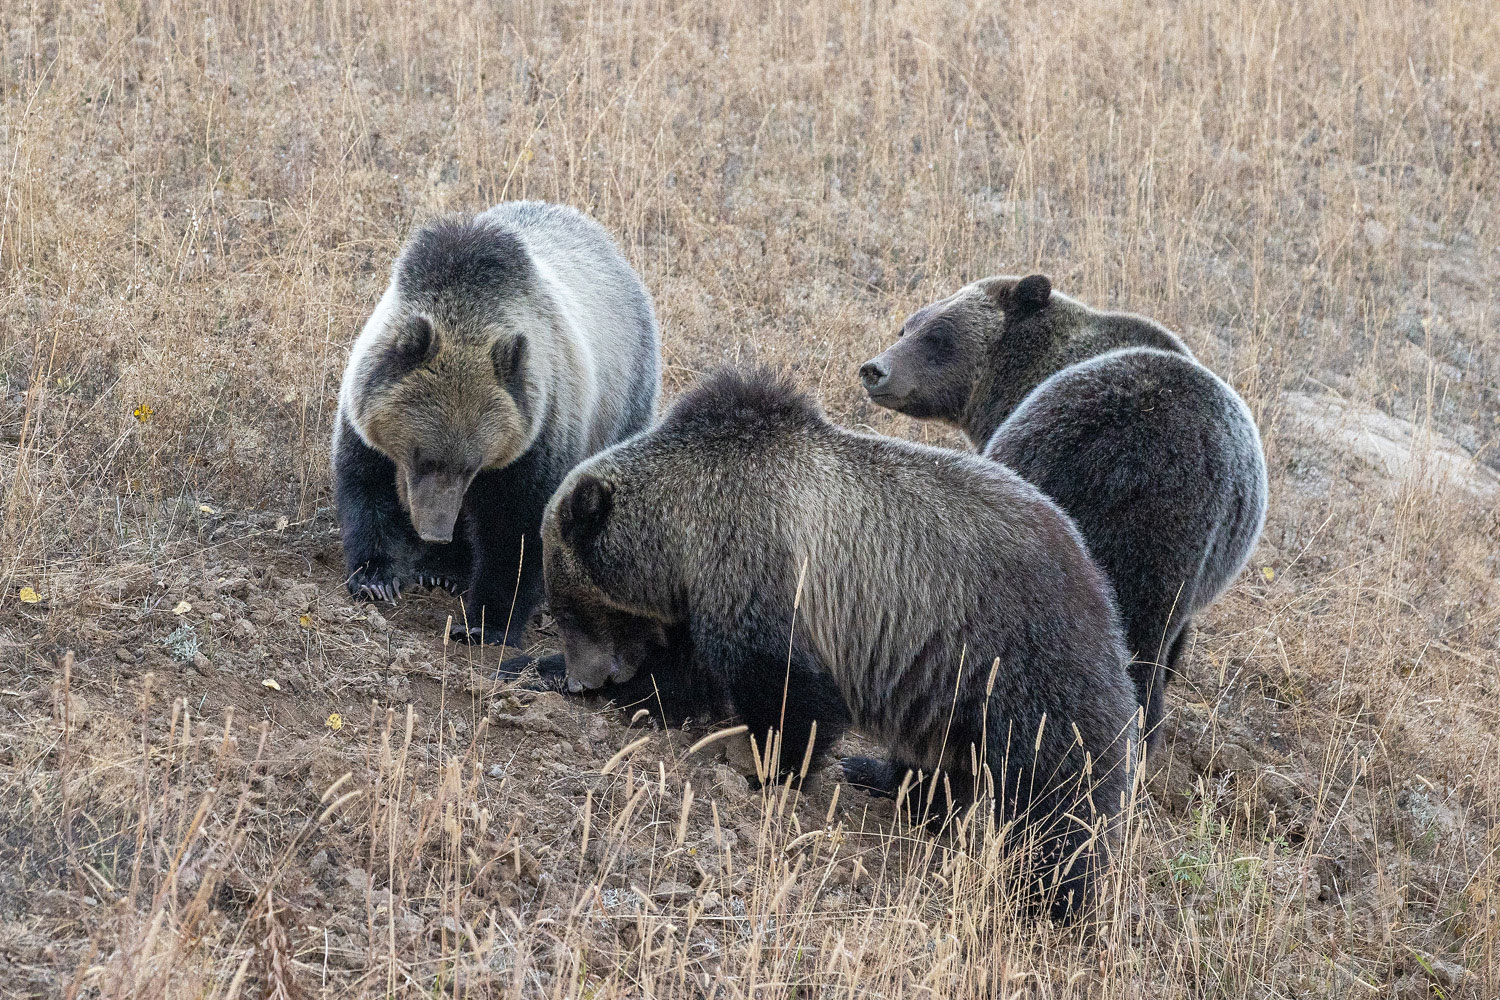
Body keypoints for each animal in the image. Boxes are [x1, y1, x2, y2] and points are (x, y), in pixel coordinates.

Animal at [334, 199, 663, 644]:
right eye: (421, 457)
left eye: (471, 464)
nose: (435, 530)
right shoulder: (367, 415)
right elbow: (367, 486)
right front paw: (376, 579)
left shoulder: (538, 433)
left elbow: (518, 531)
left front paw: (485, 620)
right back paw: (442, 569)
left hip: (624, 400)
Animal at [540, 367, 1134, 923]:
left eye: (567, 602)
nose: (583, 677)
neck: (686, 533)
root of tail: (1095, 577)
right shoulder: (705, 594)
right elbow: (685, 676)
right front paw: (567, 676)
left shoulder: (762, 571)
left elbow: (788, 691)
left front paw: (766, 768)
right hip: (946, 680)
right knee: (944, 753)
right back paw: (888, 781)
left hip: (1017, 658)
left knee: (1059, 790)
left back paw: (1047, 894)